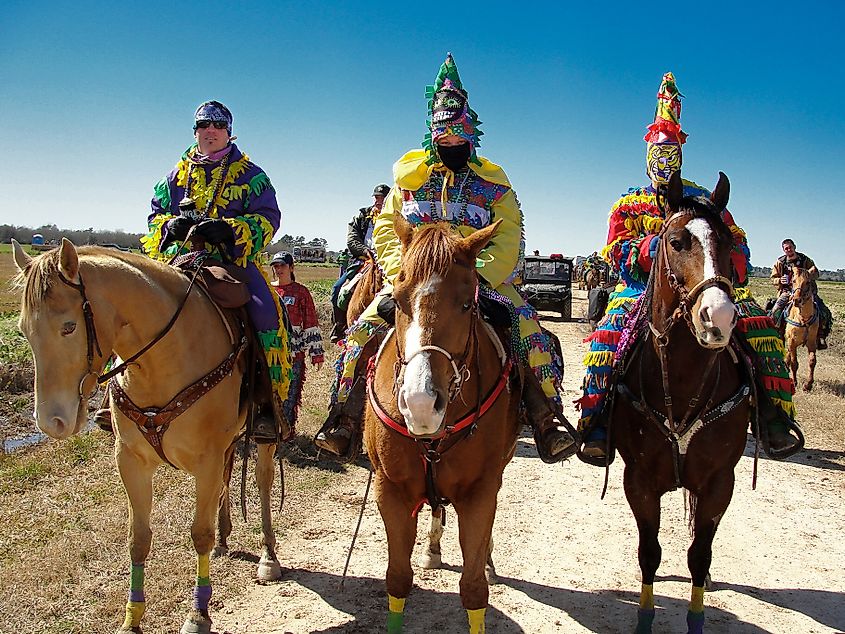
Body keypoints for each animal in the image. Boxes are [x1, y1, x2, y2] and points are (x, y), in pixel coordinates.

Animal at [13, 241, 282, 632]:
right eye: (23, 330)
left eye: (68, 327)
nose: (52, 422)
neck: (165, 357)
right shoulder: (131, 460)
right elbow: (137, 539)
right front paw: (132, 619)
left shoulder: (205, 461)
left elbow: (199, 534)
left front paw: (198, 613)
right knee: (228, 479)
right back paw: (224, 539)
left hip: (264, 439)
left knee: (262, 482)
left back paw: (268, 556)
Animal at [364, 215, 520, 628]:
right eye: (396, 301)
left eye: (467, 303)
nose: (420, 404)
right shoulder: (391, 491)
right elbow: (398, 580)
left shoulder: (480, 492)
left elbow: (473, 589)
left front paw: (482, 564)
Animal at [608, 172, 752, 632]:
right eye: (674, 241)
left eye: (726, 243)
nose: (718, 318)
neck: (684, 380)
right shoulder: (637, 479)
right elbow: (649, 553)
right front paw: (644, 617)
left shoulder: (719, 483)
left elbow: (699, 556)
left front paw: (696, 618)